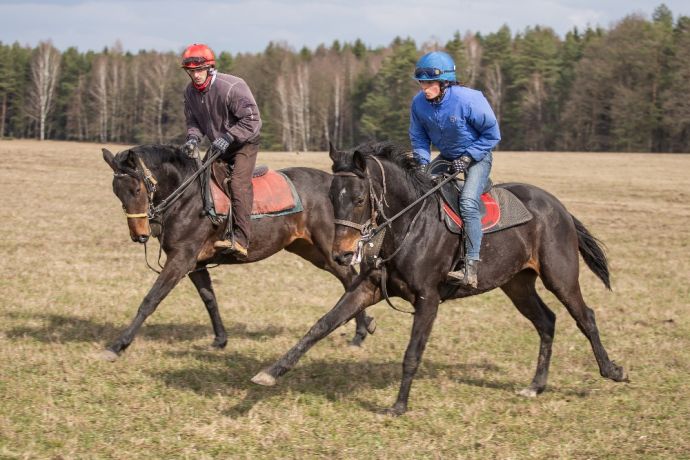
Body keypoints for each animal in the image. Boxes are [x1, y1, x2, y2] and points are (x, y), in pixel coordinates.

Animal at [99, 146, 374, 358]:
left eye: (136, 190)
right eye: (116, 192)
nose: (140, 235)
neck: (186, 197)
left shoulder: (180, 259)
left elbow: (151, 299)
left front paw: (118, 345)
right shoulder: (194, 263)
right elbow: (209, 299)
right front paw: (220, 339)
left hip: (330, 248)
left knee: (349, 278)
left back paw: (360, 334)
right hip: (311, 250)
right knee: (348, 278)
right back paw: (364, 327)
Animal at [250, 142, 628, 416]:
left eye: (358, 199)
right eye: (329, 198)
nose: (342, 255)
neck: (407, 225)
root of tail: (558, 206)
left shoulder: (427, 300)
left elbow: (412, 353)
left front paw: (398, 405)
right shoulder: (367, 289)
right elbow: (321, 325)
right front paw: (271, 372)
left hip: (559, 275)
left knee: (585, 317)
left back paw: (612, 371)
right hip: (517, 283)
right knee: (546, 321)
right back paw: (536, 385)